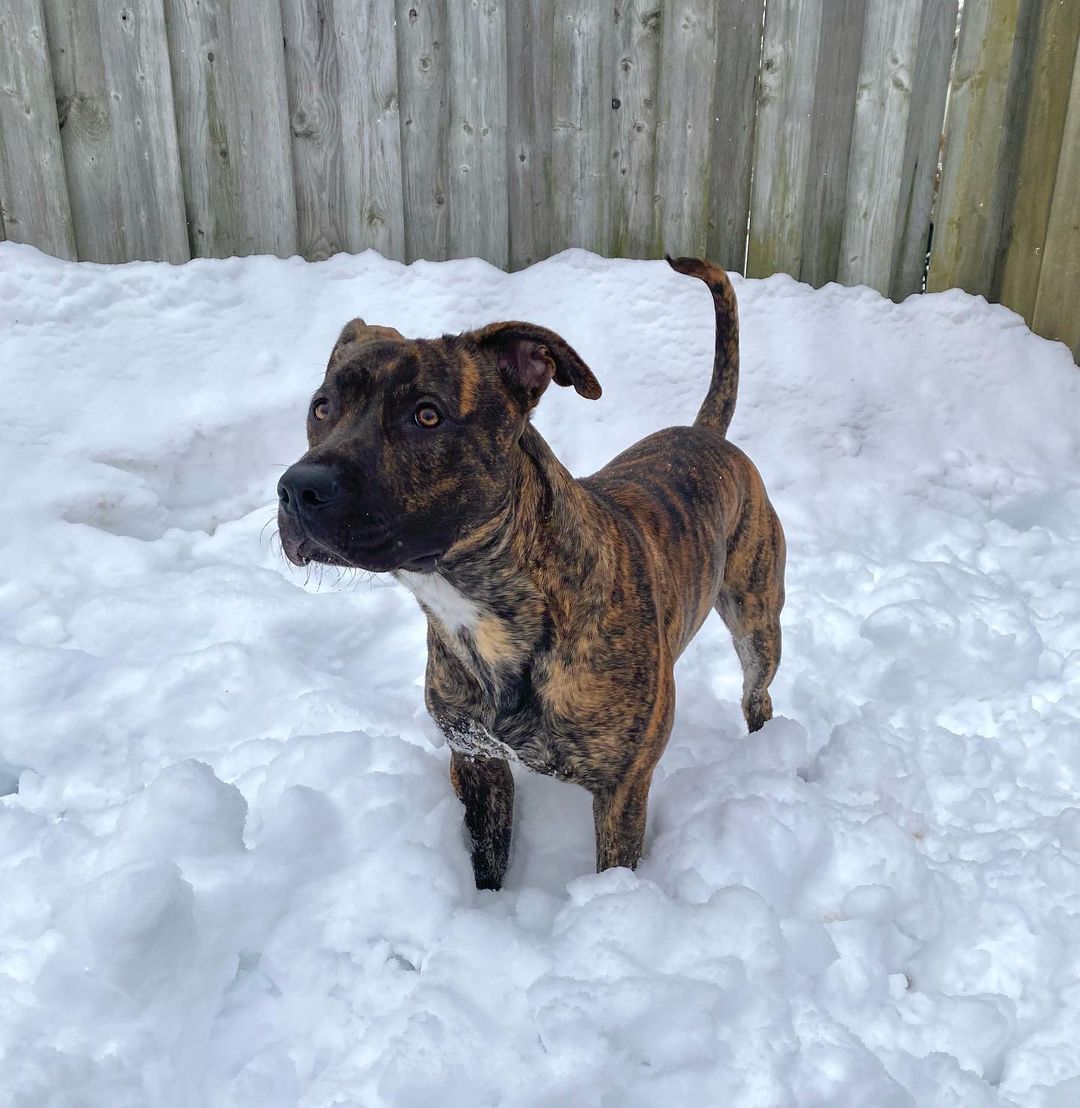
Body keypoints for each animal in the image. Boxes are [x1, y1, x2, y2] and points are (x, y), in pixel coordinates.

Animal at [278, 256, 786, 889]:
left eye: (427, 415)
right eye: (321, 407)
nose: (297, 489)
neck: (486, 607)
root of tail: (707, 434)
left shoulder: (622, 789)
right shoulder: (478, 762)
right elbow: (487, 861)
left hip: (758, 622)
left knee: (757, 693)